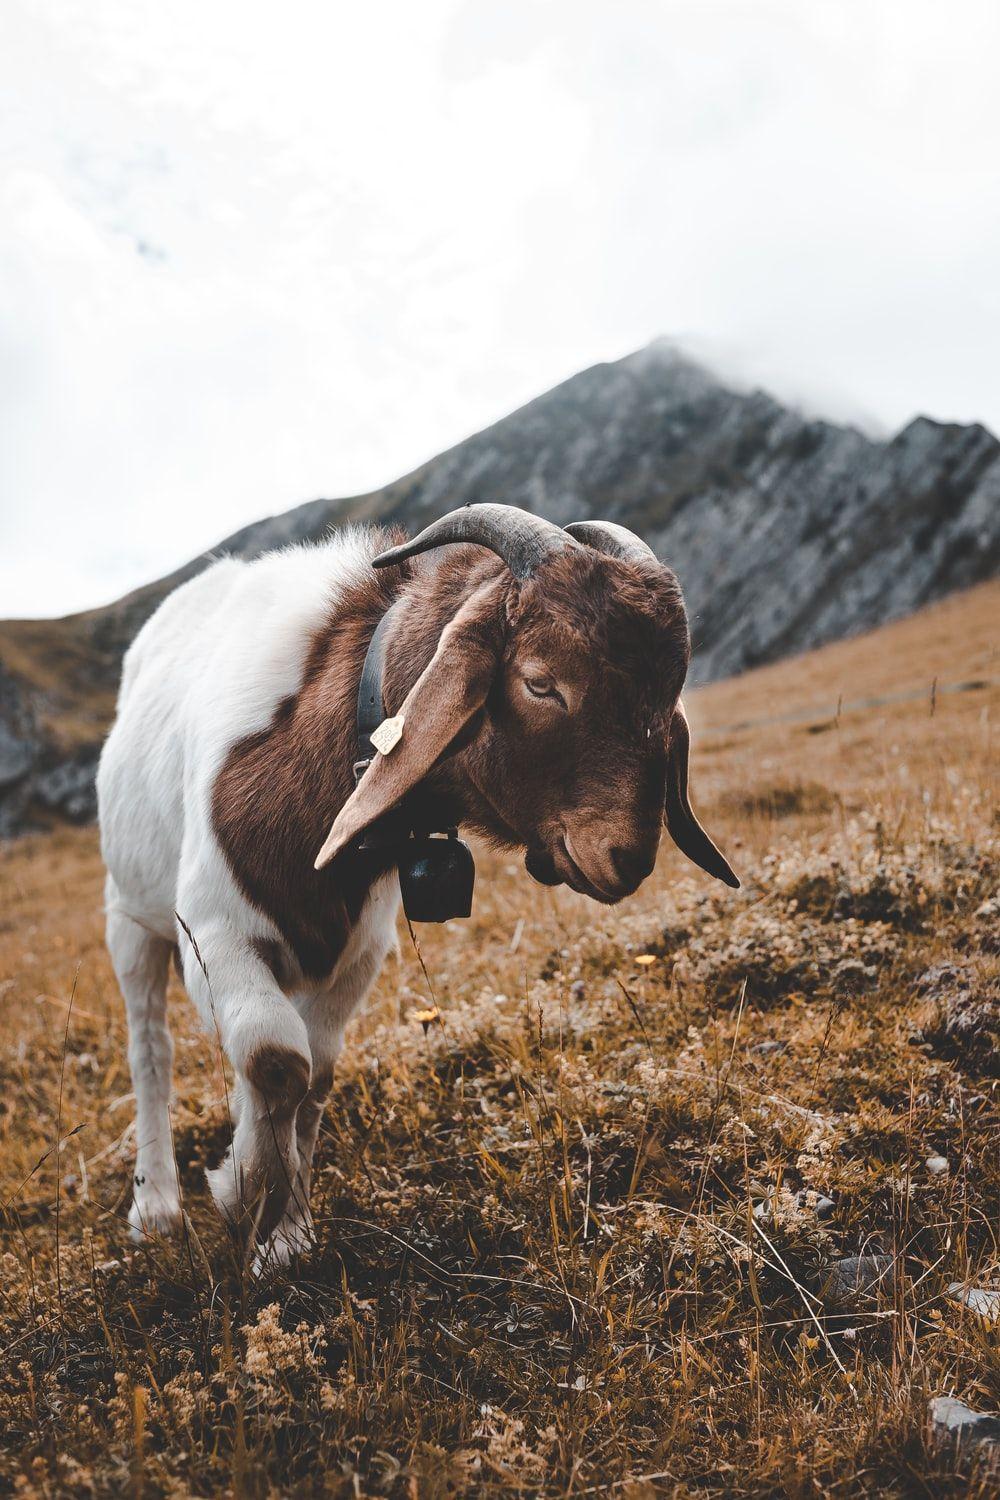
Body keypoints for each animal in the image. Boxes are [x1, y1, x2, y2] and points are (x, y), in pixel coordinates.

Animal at [97, 504, 737, 1266]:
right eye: (541, 682)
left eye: (668, 693)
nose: (626, 856)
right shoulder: (214, 933)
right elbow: (276, 1059)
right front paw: (243, 1192)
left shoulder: (357, 951)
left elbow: (313, 1074)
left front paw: (286, 1233)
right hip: (131, 921)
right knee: (150, 1051)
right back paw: (155, 1207)